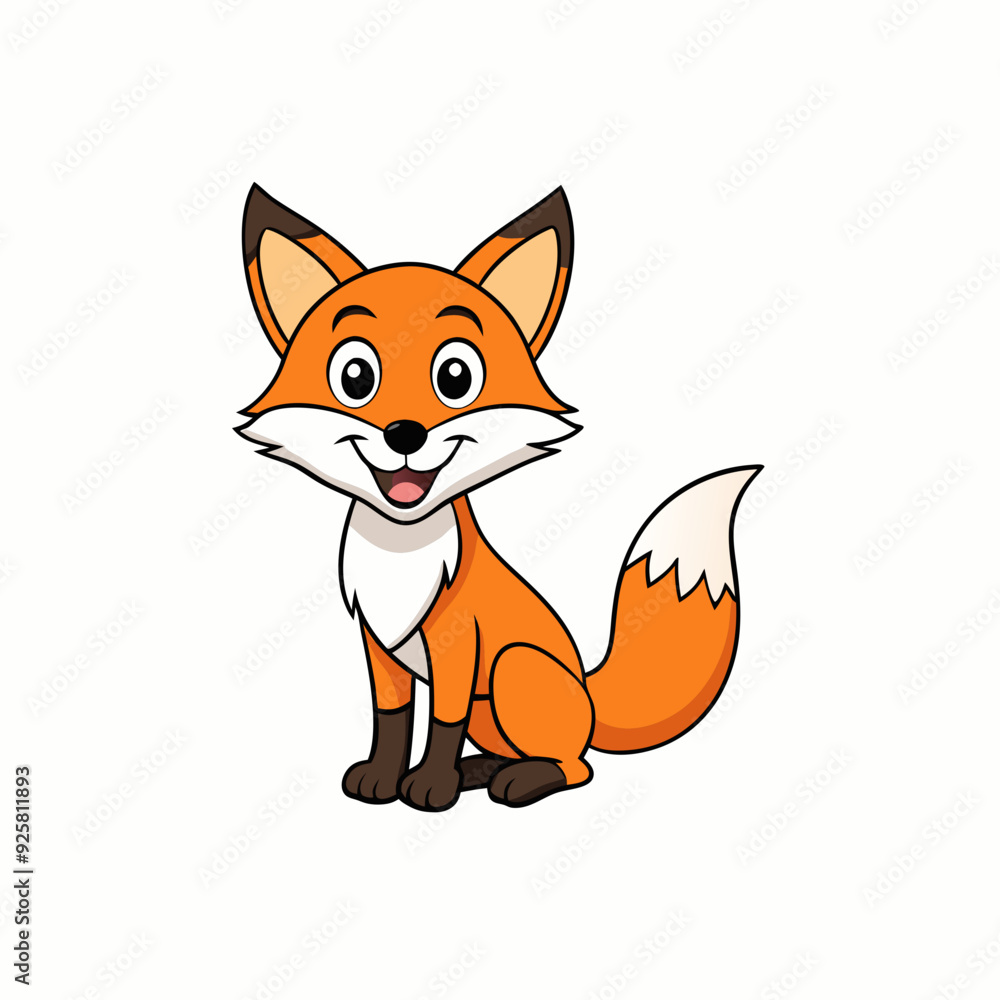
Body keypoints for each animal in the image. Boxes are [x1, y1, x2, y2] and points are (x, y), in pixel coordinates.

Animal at [236, 183, 761, 810]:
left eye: (456, 377)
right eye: (356, 377)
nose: (405, 433)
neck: (401, 551)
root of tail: (589, 696)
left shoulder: (460, 645)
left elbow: (442, 722)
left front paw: (430, 787)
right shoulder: (379, 645)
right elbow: (392, 719)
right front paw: (382, 779)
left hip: (514, 667)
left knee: (575, 765)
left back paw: (518, 781)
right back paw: (482, 769)